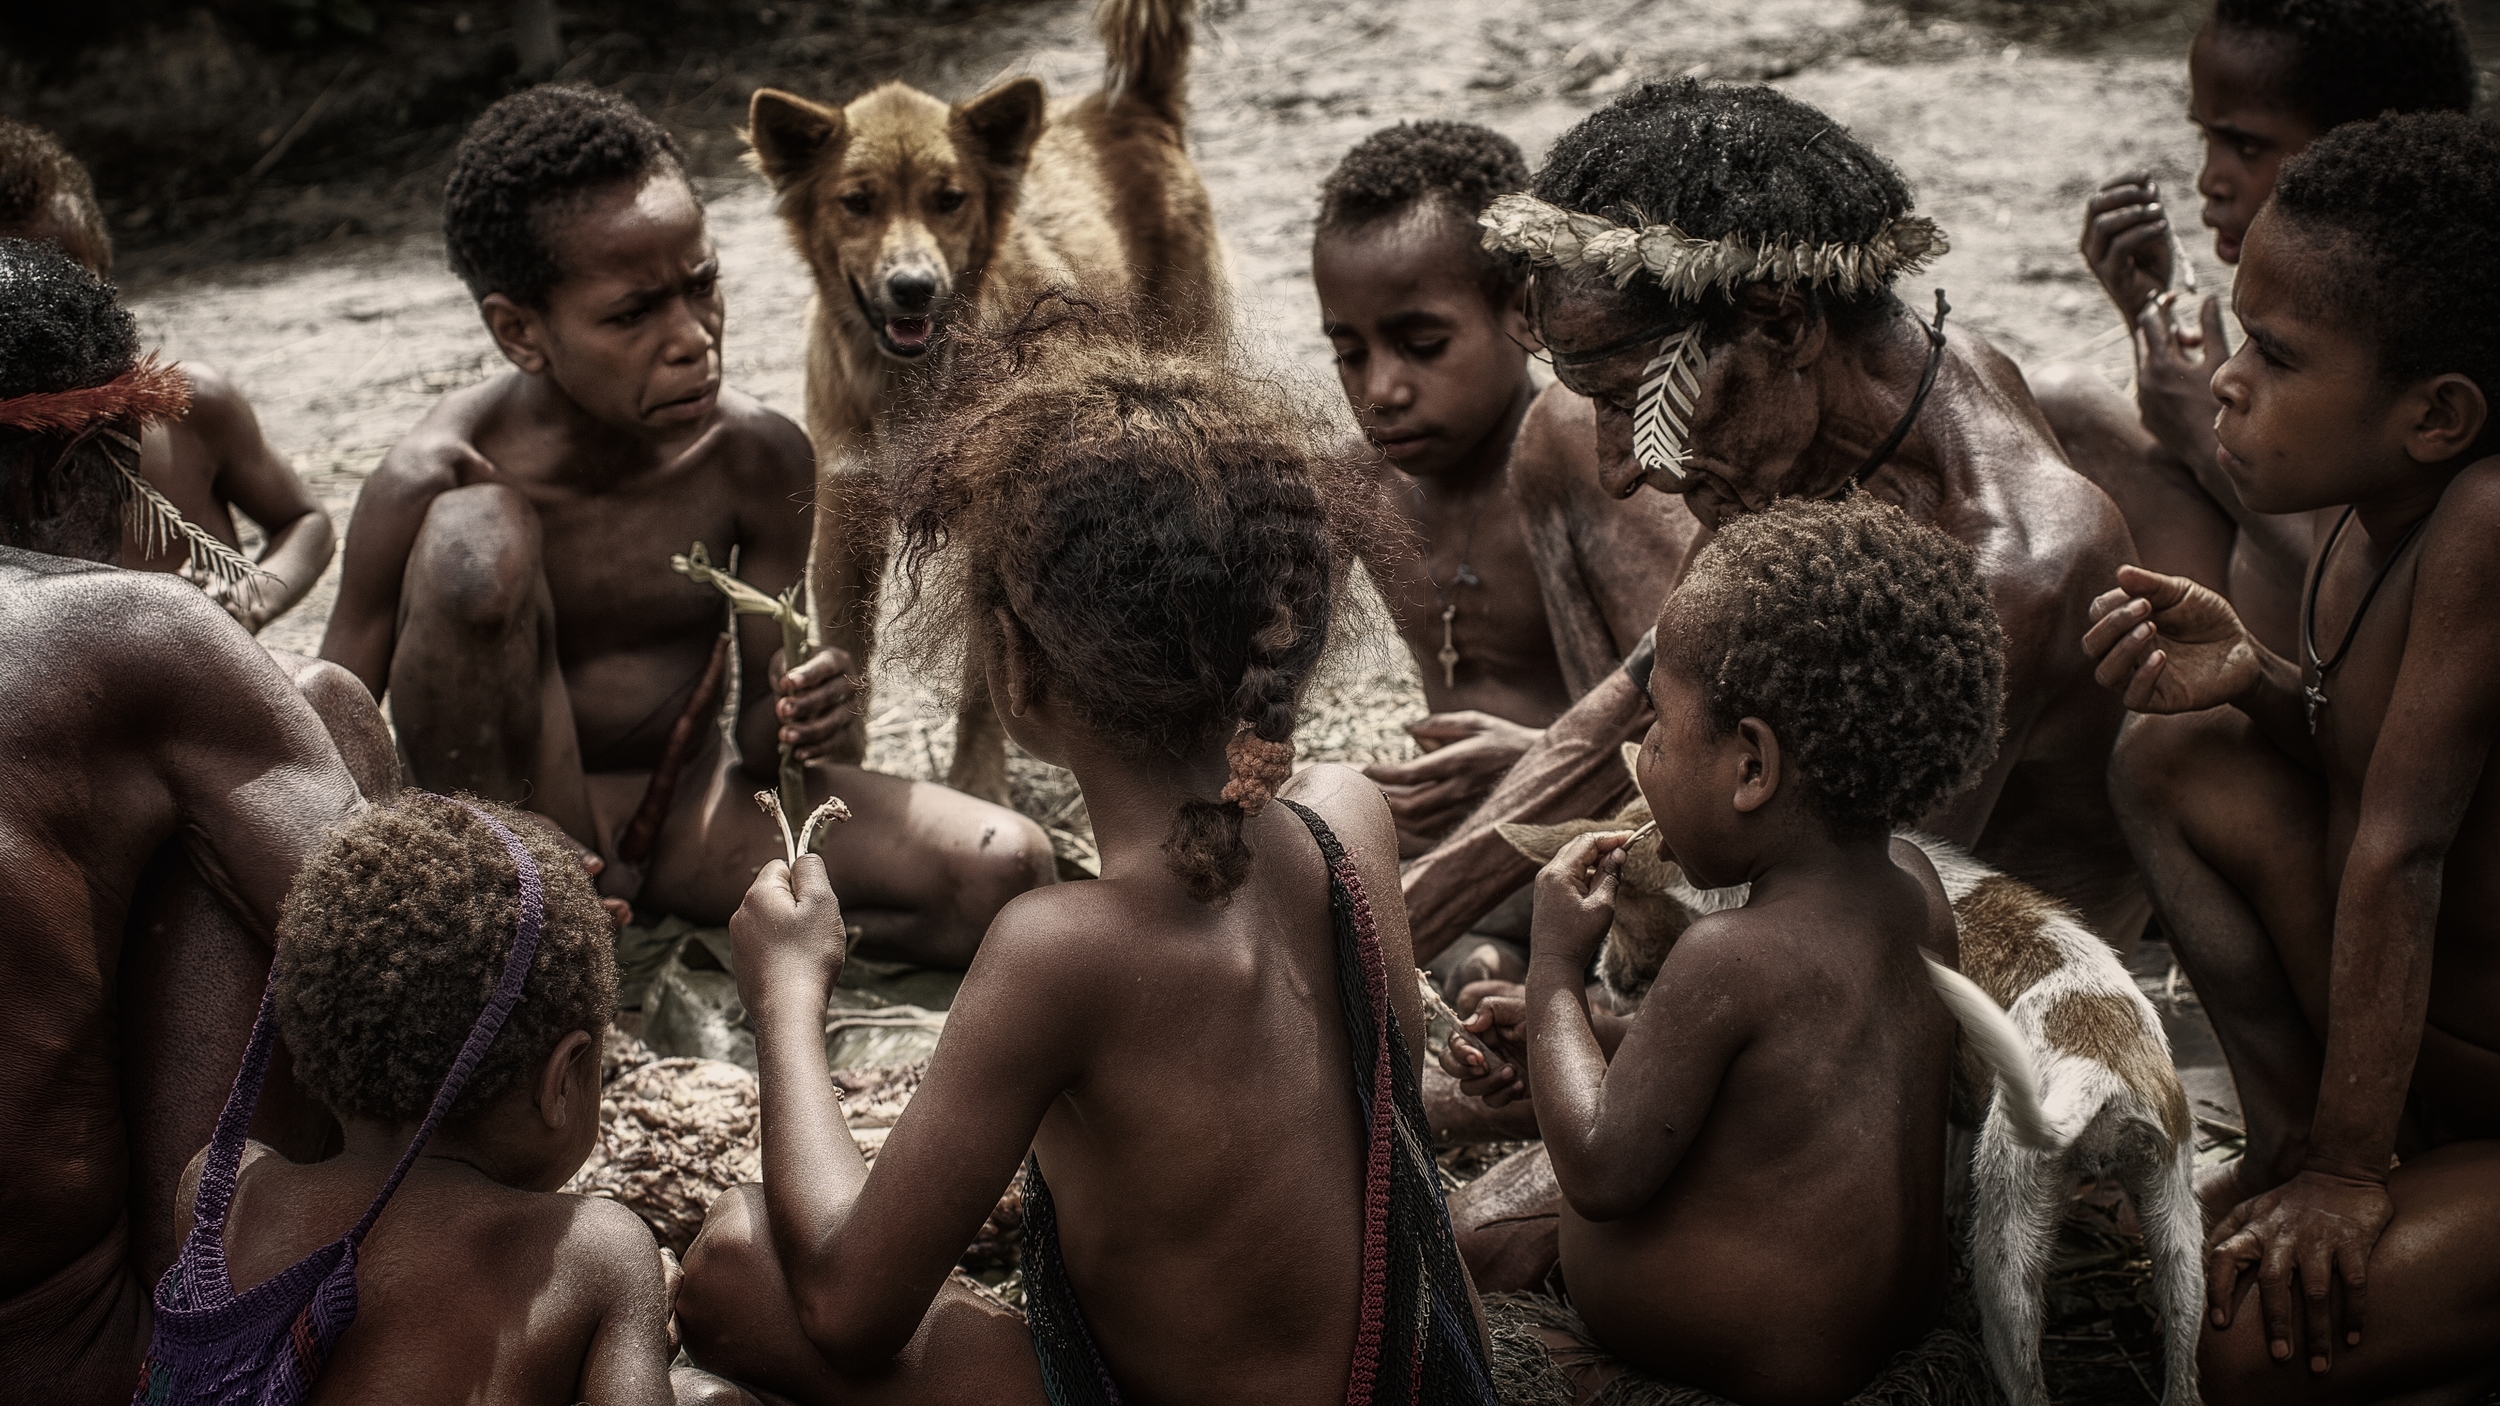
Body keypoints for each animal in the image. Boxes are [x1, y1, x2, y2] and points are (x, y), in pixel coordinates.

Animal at [735, 0, 1225, 795]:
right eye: (857, 202)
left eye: (949, 200)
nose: (912, 287)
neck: (908, 381)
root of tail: (1127, 105)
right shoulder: (847, 518)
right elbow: (848, 655)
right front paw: (836, 764)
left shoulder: (991, 527)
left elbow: (979, 685)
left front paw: (975, 784)